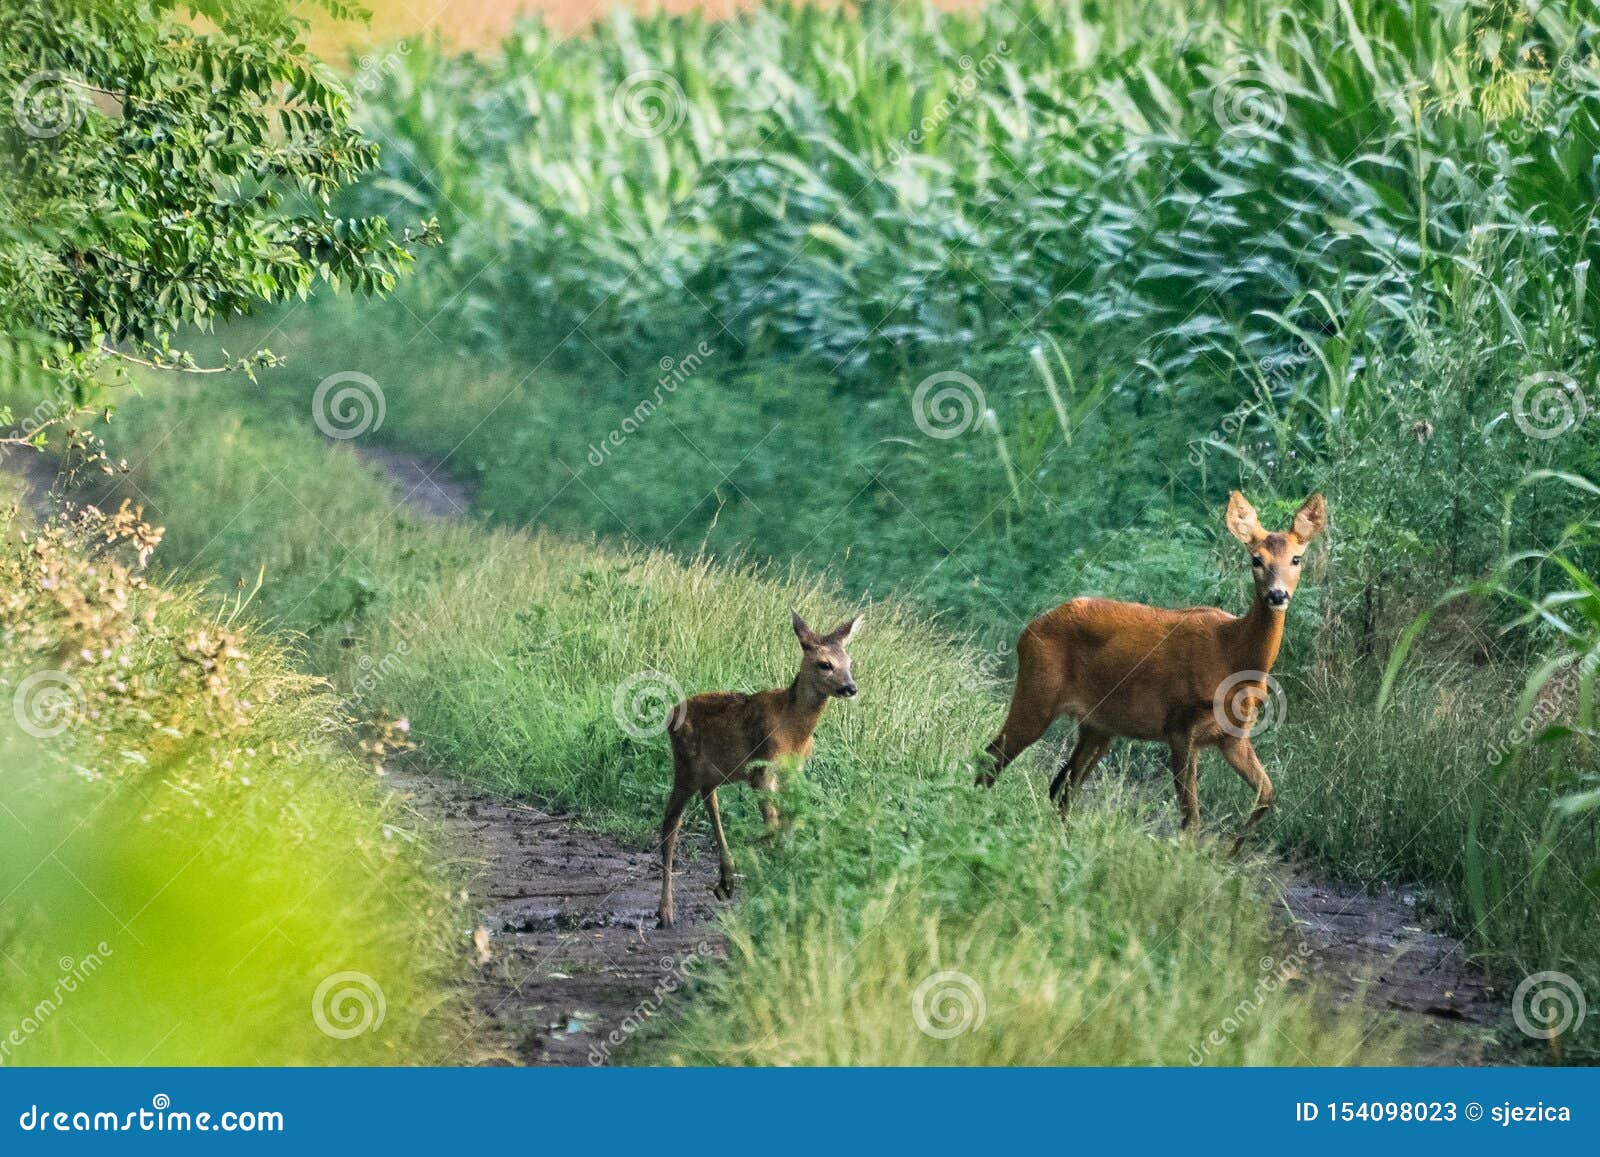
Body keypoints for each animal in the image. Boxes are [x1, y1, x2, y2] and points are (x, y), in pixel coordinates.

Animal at [656, 611, 864, 928]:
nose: (850, 688)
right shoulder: (761, 769)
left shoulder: (793, 771)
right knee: (670, 826)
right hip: (686, 766)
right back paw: (666, 912)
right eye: (824, 664)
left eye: (849, 662)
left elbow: (786, 826)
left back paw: (725, 877)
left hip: (716, 772)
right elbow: (772, 827)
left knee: (709, 799)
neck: (794, 730)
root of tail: (671, 713)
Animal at [972, 489, 1324, 851]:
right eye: (1256, 559)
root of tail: (1028, 631)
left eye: (1297, 559)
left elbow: (1267, 794)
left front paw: (1230, 854)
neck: (1231, 654)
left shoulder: (1233, 737)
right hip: (1037, 693)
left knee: (1061, 788)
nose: (1277, 595)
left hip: (1098, 726)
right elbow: (1192, 819)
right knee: (992, 758)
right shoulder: (1180, 726)